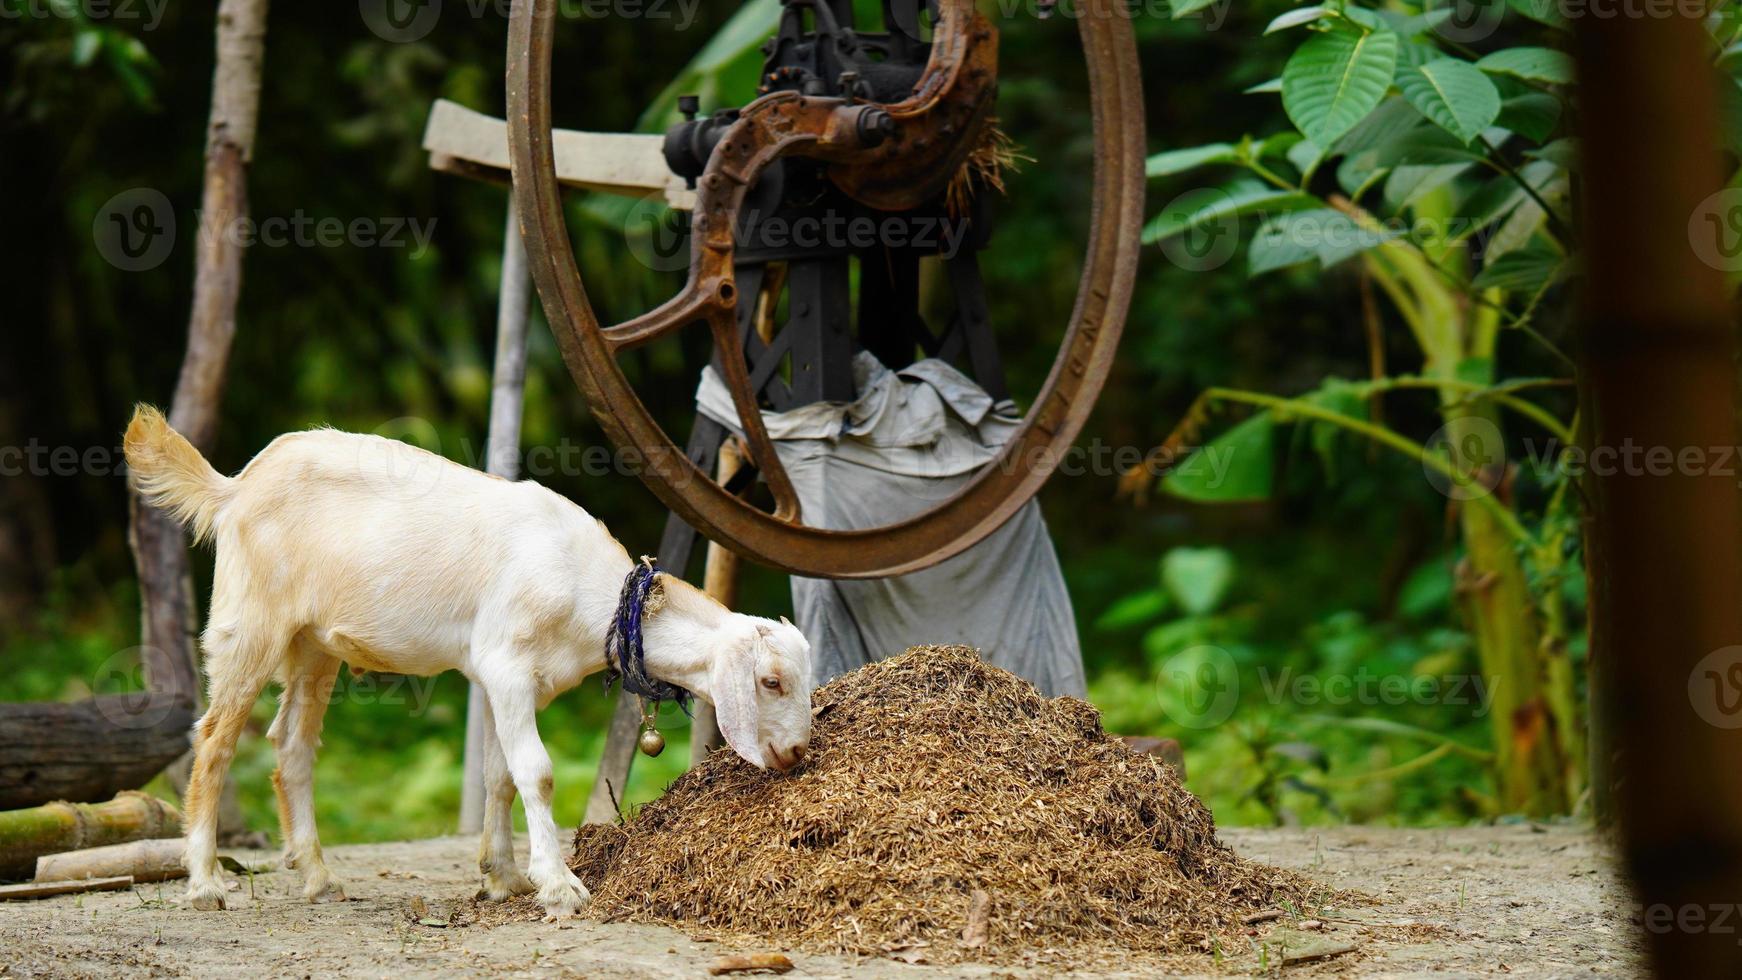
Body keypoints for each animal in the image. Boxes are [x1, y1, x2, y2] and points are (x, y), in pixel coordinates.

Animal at [122, 407, 815, 919]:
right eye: (770, 681)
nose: (796, 754)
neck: (589, 589)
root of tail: (236, 486)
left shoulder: (512, 682)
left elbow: (500, 774)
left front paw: (501, 878)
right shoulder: (506, 665)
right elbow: (537, 771)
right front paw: (558, 885)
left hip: (313, 644)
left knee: (290, 744)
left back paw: (319, 876)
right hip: (250, 624)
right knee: (214, 739)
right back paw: (206, 883)